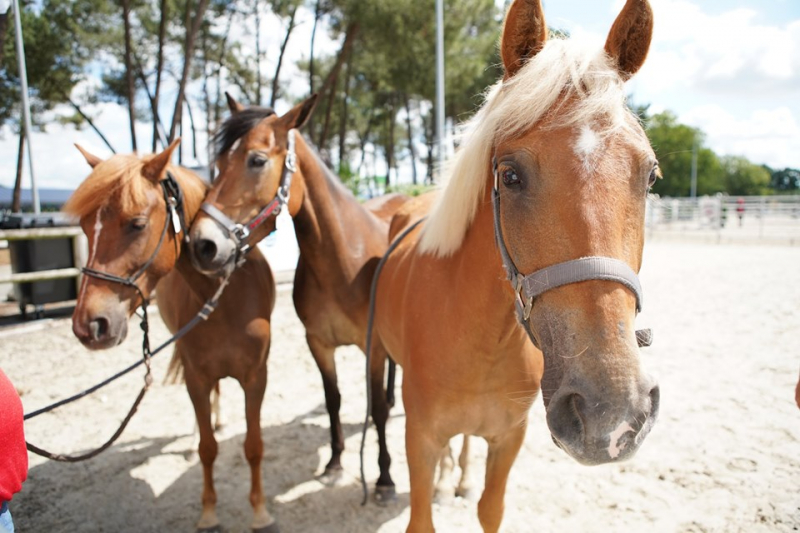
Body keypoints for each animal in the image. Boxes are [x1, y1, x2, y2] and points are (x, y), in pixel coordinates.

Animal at [65, 141, 280, 532]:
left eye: (136, 224)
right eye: (87, 227)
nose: (89, 325)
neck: (223, 297)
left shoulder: (256, 376)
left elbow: (254, 445)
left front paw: (260, 511)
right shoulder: (196, 376)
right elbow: (208, 449)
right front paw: (209, 512)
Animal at [376, 1, 664, 528]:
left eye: (650, 176)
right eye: (510, 176)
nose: (611, 413)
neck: (482, 344)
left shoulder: (509, 437)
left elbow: (490, 509)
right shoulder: (419, 438)